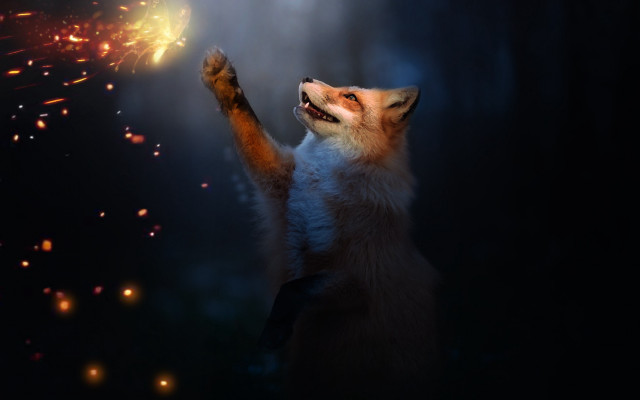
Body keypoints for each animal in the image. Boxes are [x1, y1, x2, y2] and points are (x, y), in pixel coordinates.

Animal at [201, 48, 438, 399]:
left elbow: (294, 288)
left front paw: (275, 329)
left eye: (351, 97)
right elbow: (248, 124)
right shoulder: (281, 186)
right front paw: (223, 83)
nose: (306, 76)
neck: (323, 182)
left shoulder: (362, 277)